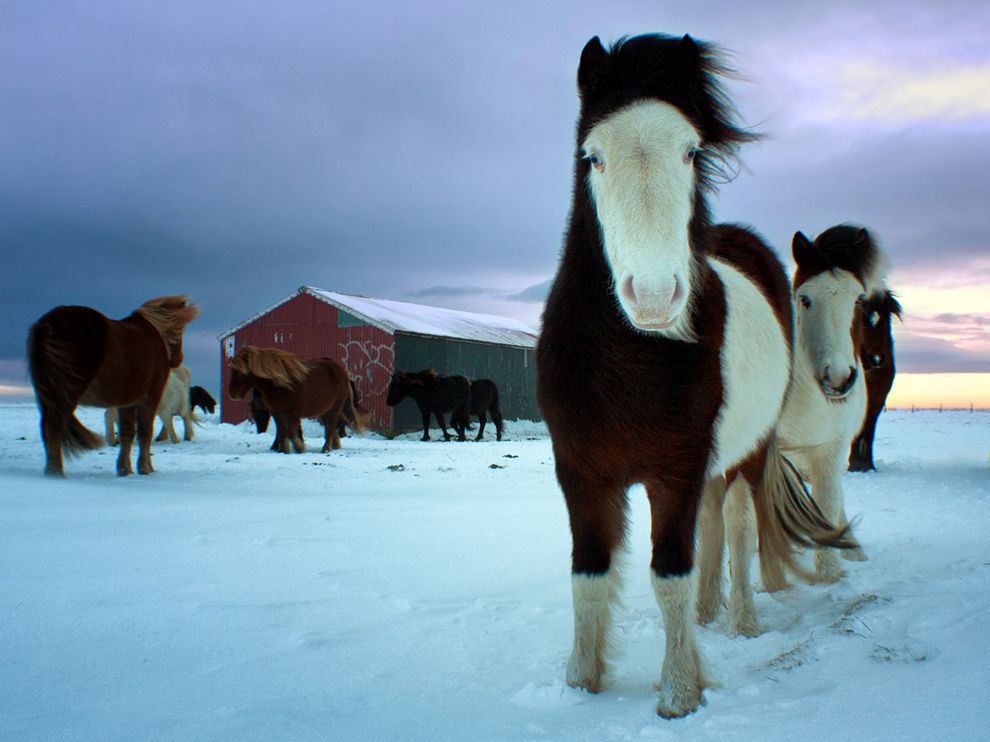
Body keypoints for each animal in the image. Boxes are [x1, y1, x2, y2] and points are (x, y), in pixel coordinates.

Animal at [27, 295, 199, 476]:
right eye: (181, 330)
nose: (178, 359)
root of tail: (50, 322)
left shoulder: (127, 402)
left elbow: (127, 433)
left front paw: (124, 469)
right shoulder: (149, 399)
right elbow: (145, 432)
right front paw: (145, 468)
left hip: (47, 395)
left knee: (46, 427)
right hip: (66, 395)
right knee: (54, 427)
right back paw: (55, 472)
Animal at [227, 346, 362, 453]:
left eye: (242, 371)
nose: (232, 394)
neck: (281, 386)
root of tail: (343, 371)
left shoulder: (294, 413)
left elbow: (290, 431)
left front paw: (299, 448)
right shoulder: (277, 413)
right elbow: (282, 431)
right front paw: (283, 450)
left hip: (335, 407)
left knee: (331, 427)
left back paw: (326, 449)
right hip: (324, 410)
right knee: (331, 427)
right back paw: (334, 446)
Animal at [536, 34, 851, 718]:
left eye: (690, 151)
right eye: (593, 157)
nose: (655, 298)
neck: (627, 365)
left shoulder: (673, 471)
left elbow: (669, 574)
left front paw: (679, 692)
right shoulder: (580, 472)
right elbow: (588, 576)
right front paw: (581, 681)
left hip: (747, 454)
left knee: (734, 526)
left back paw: (741, 621)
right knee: (712, 526)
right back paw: (710, 615)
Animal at [696, 226, 879, 639]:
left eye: (858, 299)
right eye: (805, 299)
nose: (838, 378)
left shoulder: (830, 450)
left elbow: (826, 500)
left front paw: (828, 572)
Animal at [848, 289, 901, 471]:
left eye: (887, 319)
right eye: (863, 319)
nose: (876, 358)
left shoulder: (877, 401)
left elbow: (869, 431)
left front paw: (867, 464)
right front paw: (855, 464)